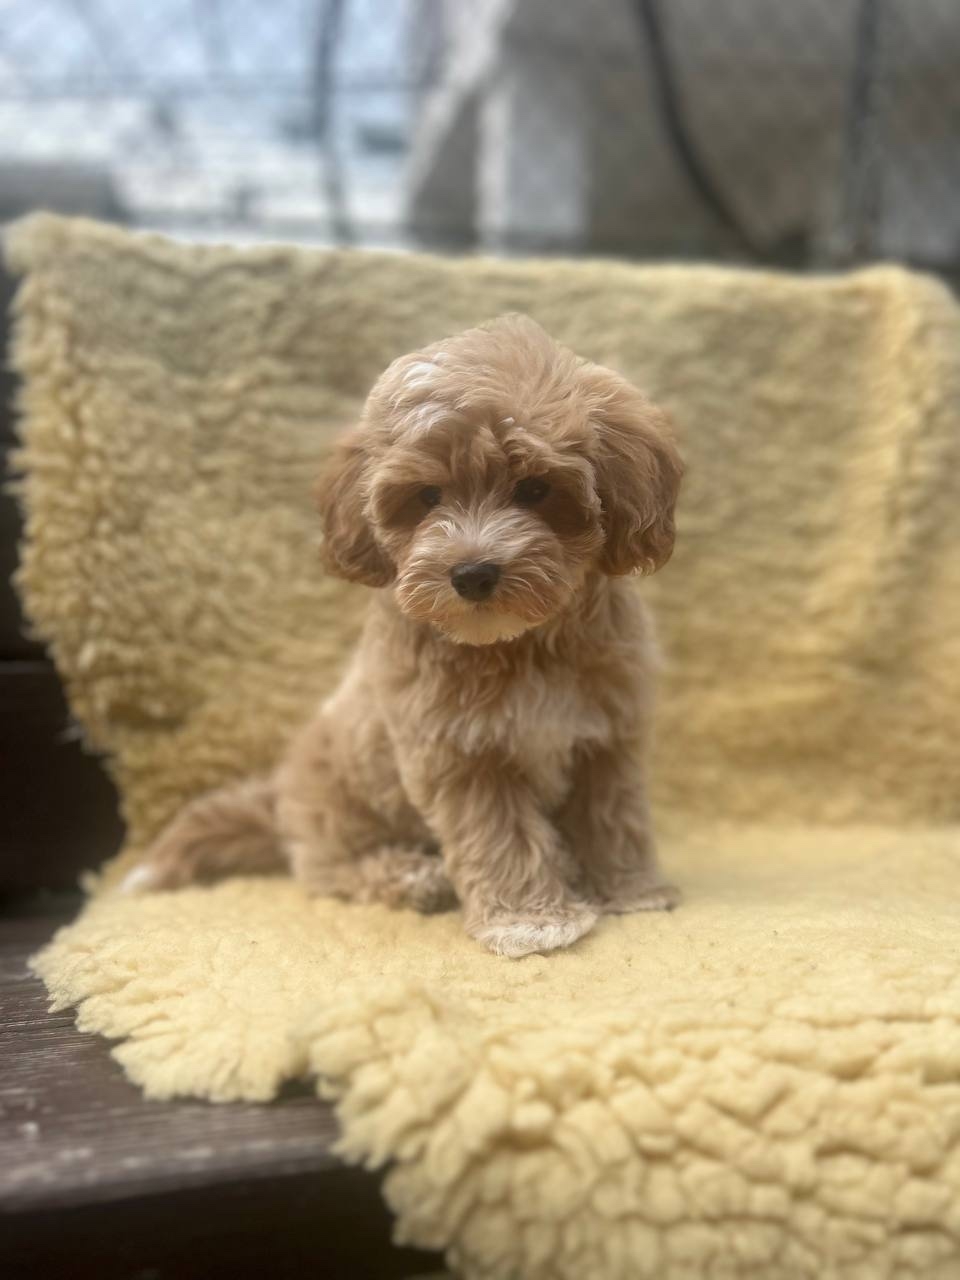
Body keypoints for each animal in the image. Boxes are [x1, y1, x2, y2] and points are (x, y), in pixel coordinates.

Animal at [124, 315, 683, 957]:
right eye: (427, 497)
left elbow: (613, 818)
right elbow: (501, 836)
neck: (516, 644)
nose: (472, 573)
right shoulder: (462, 756)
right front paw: (529, 921)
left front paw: (632, 891)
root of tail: (280, 803)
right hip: (337, 812)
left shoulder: (606, 736)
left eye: (535, 489)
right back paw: (415, 876)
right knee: (330, 870)